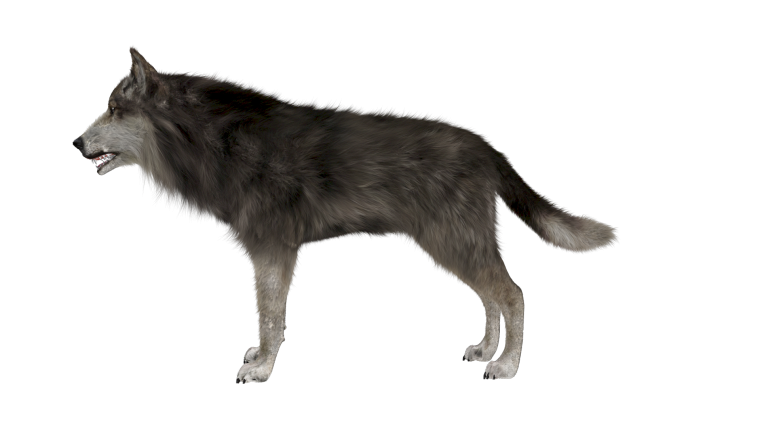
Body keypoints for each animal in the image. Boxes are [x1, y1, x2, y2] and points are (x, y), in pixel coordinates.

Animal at [73, 46, 618, 383]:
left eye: (114, 109)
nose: (75, 143)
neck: (216, 141)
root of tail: (487, 149)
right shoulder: (269, 255)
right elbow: (267, 317)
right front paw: (260, 358)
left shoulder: (274, 252)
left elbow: (272, 318)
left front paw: (263, 368)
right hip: (453, 247)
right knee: (492, 297)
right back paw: (486, 350)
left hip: (455, 244)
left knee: (513, 294)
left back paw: (506, 365)